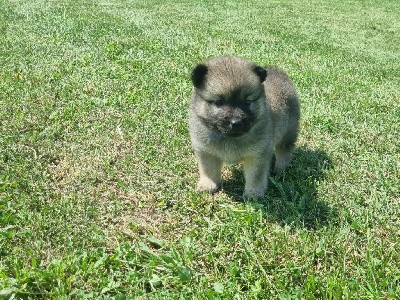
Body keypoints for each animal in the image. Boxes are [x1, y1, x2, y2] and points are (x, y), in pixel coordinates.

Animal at [189, 56, 298, 198]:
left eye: (247, 101)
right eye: (219, 102)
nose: (236, 122)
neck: (229, 138)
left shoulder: (257, 155)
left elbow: (255, 176)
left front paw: (253, 193)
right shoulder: (205, 151)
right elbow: (208, 170)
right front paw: (209, 184)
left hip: (288, 132)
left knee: (284, 150)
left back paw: (280, 169)